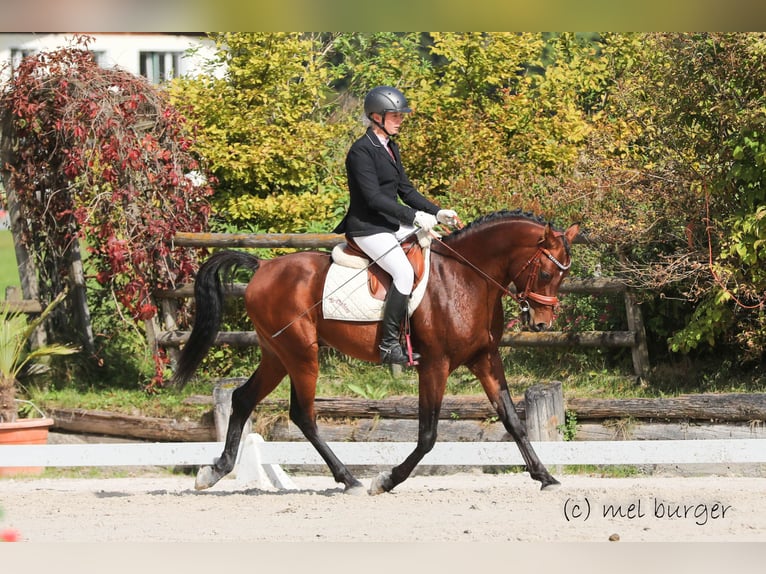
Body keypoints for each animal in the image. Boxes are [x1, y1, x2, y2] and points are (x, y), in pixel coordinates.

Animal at [171, 209, 579, 495]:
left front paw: (545, 476)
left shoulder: (485, 359)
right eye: (546, 273)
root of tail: (263, 266)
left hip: (276, 354)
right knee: (303, 415)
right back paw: (349, 479)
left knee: (243, 398)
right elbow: (428, 435)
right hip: (302, 355)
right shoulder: (435, 365)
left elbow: (513, 420)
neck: (467, 279)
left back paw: (215, 471)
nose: (541, 323)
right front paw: (386, 480)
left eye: (563, 276)